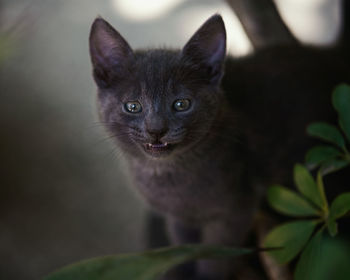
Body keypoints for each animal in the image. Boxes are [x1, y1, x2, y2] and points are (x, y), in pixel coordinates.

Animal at [89, 12, 348, 278]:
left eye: (181, 104)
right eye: (133, 106)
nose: (156, 130)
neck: (167, 175)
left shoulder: (235, 211)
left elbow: (216, 256)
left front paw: (207, 274)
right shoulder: (178, 217)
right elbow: (183, 244)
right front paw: (180, 270)